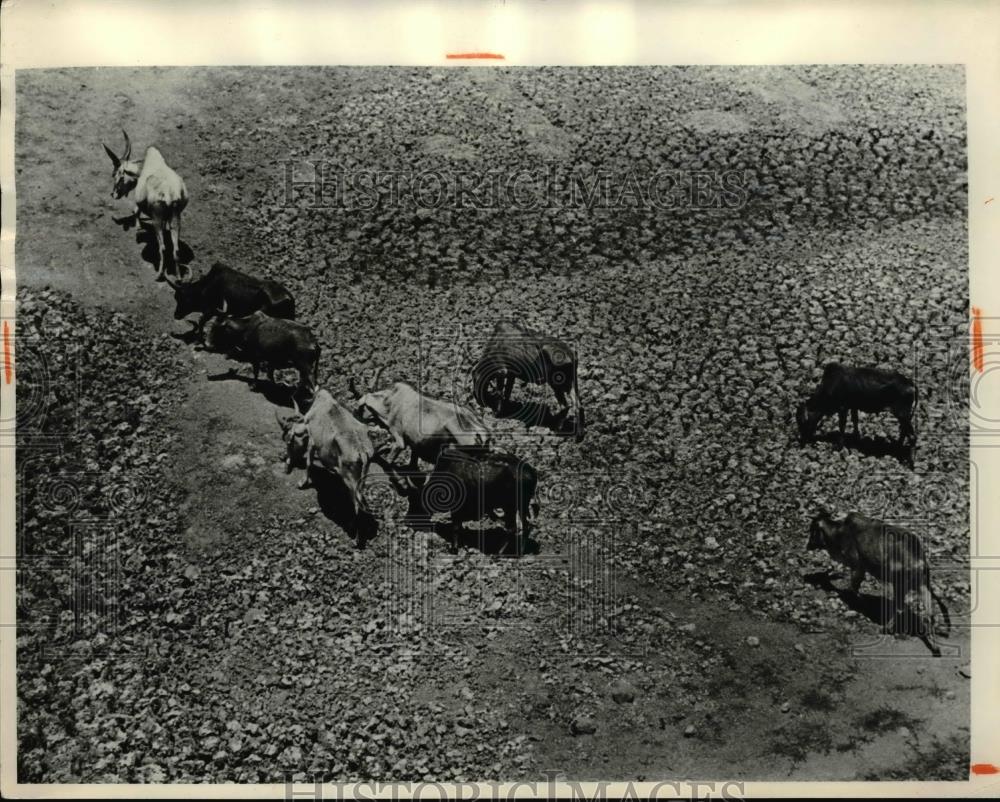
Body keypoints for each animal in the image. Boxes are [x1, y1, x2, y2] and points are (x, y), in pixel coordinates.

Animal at [164, 260, 294, 336]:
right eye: (176, 297)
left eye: (185, 298)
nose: (176, 315)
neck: (206, 287)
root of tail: (289, 298)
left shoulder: (209, 311)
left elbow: (201, 322)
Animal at [274, 388, 376, 536]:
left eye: (289, 441)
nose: (283, 458)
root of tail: (361, 451)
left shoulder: (312, 441)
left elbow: (309, 463)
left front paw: (302, 483)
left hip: (350, 479)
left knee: (357, 501)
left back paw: (352, 527)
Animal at [352, 372, 492, 472]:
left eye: (361, 408)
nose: (355, 414)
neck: (390, 401)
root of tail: (480, 433)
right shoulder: (414, 443)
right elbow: (412, 462)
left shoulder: (398, 436)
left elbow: (390, 458)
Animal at [378, 444, 540, 552]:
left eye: (415, 501)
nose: (407, 520)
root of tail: (531, 472)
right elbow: (459, 527)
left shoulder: (457, 509)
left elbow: (455, 527)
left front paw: (454, 548)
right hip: (521, 506)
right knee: (526, 526)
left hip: (511, 506)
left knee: (514, 528)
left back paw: (500, 552)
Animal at [804, 510, 952, 652]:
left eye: (812, 529)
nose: (808, 546)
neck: (839, 532)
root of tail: (920, 560)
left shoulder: (857, 567)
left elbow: (854, 589)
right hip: (922, 586)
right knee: (929, 614)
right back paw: (935, 646)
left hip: (899, 584)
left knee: (900, 607)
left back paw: (886, 628)